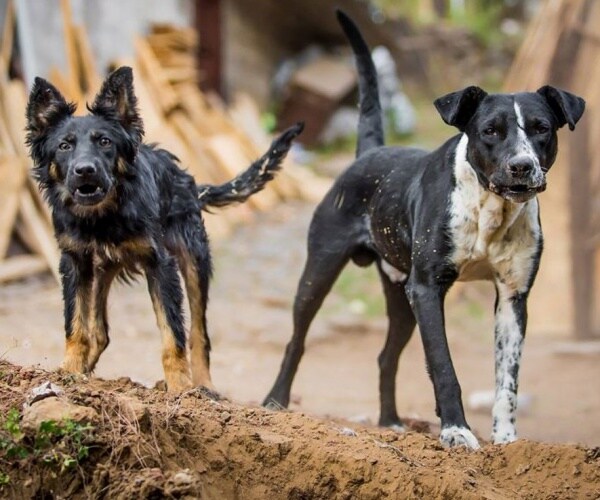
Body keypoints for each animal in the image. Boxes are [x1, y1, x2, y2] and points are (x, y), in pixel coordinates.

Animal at [25, 66, 302, 392]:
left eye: (105, 142)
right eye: (64, 146)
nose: (85, 170)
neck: (103, 216)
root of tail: (188, 181)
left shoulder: (161, 265)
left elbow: (173, 334)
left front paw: (180, 388)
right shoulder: (75, 263)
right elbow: (76, 325)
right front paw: (69, 372)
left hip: (194, 260)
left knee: (199, 334)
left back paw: (204, 387)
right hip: (102, 271)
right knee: (100, 331)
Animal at [264, 11, 584, 450]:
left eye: (541, 128)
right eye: (490, 130)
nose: (522, 166)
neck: (490, 209)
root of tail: (370, 152)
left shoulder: (513, 297)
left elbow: (508, 380)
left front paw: (506, 441)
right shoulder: (428, 288)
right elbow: (444, 366)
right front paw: (457, 431)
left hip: (401, 295)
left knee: (386, 357)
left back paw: (390, 421)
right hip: (320, 272)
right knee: (296, 341)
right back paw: (275, 402)